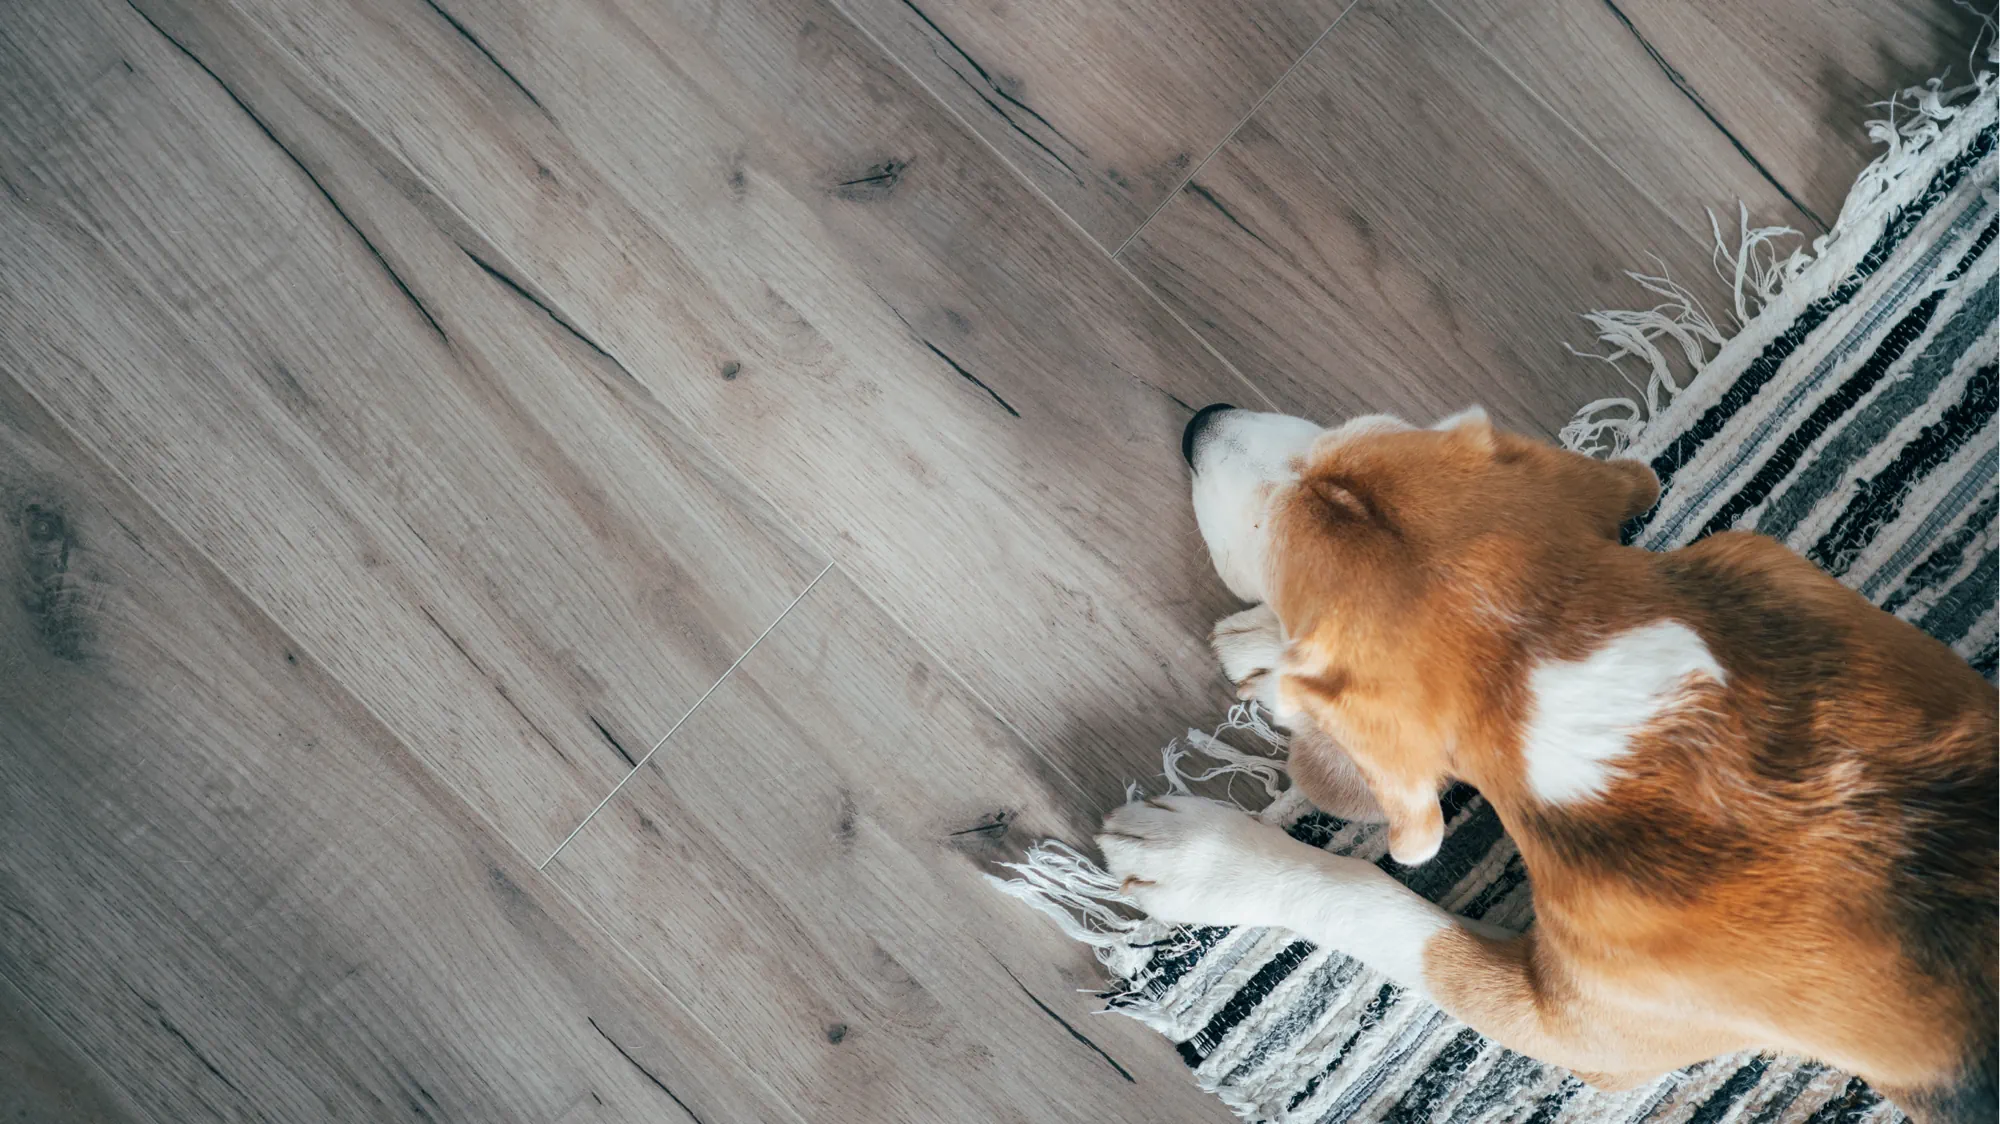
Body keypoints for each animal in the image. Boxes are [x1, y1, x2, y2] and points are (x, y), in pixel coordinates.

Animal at [1104, 400, 1992, 1112]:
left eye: (1264, 537)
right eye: (1341, 433)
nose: (1199, 424)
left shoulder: (1576, 1033)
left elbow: (1376, 902)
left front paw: (1203, 860)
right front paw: (1268, 659)